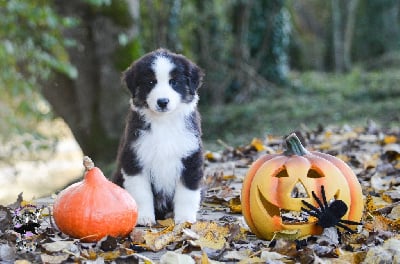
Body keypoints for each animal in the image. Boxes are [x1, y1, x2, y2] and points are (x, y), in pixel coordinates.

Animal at [113, 48, 205, 226]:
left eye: (174, 82)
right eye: (150, 82)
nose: (163, 101)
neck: (164, 123)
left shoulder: (190, 157)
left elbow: (187, 192)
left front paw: (184, 219)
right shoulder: (135, 158)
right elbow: (141, 192)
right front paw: (144, 217)